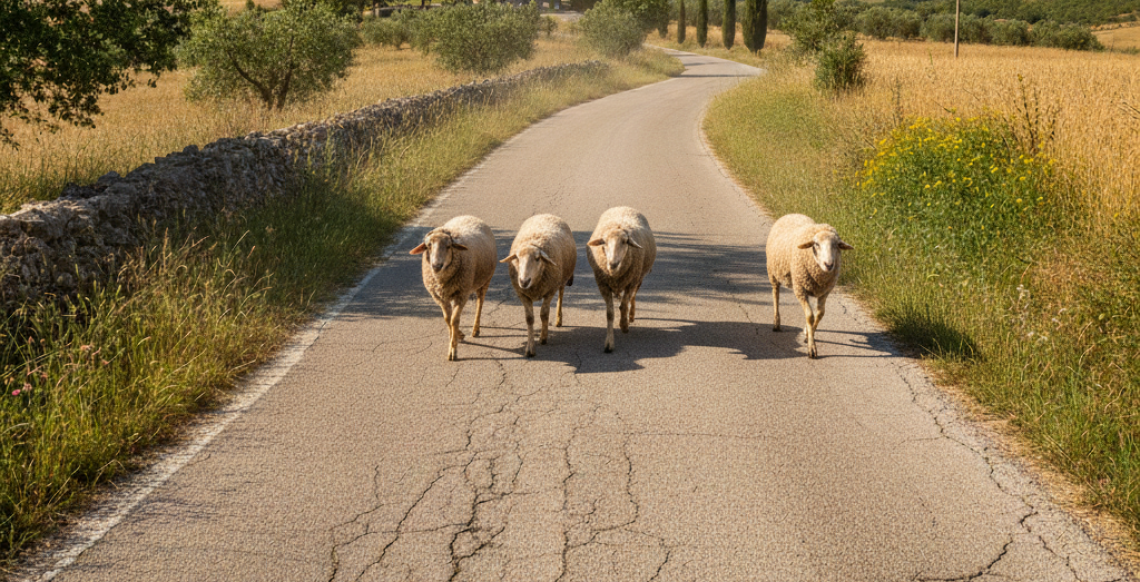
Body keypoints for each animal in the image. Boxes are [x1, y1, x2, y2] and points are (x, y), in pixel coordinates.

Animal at [410, 215, 497, 361]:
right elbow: (447, 319)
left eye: (449, 246)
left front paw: (453, 351)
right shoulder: (439, 297)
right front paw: (457, 335)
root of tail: (469, 215)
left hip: (485, 280)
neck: (441, 279)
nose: (436, 265)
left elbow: (454, 320)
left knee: (480, 303)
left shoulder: (461, 295)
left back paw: (475, 329)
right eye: (428, 246)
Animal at [500, 214, 577, 358]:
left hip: (561, 278)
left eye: (537, 258)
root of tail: (546, 214)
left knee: (561, 293)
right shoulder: (522, 294)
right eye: (517, 258)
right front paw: (530, 349)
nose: (524, 281)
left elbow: (544, 314)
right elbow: (529, 319)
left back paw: (558, 319)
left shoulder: (549, 291)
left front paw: (543, 338)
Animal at [586, 206, 657, 353]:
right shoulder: (603, 285)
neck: (615, 274)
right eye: (604, 242)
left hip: (639, 277)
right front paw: (609, 343)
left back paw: (631, 315)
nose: (613, 263)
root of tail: (623, 207)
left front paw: (624, 325)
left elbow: (624, 305)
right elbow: (610, 313)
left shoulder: (631, 281)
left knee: (633, 296)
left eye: (625, 242)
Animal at [765, 213, 854, 359]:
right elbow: (810, 316)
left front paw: (808, 332)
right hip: (773, 273)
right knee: (775, 295)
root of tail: (792, 214)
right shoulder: (800, 289)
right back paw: (776, 322)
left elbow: (820, 314)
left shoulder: (824, 292)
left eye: (836, 245)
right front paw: (812, 348)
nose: (829, 265)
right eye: (816, 244)